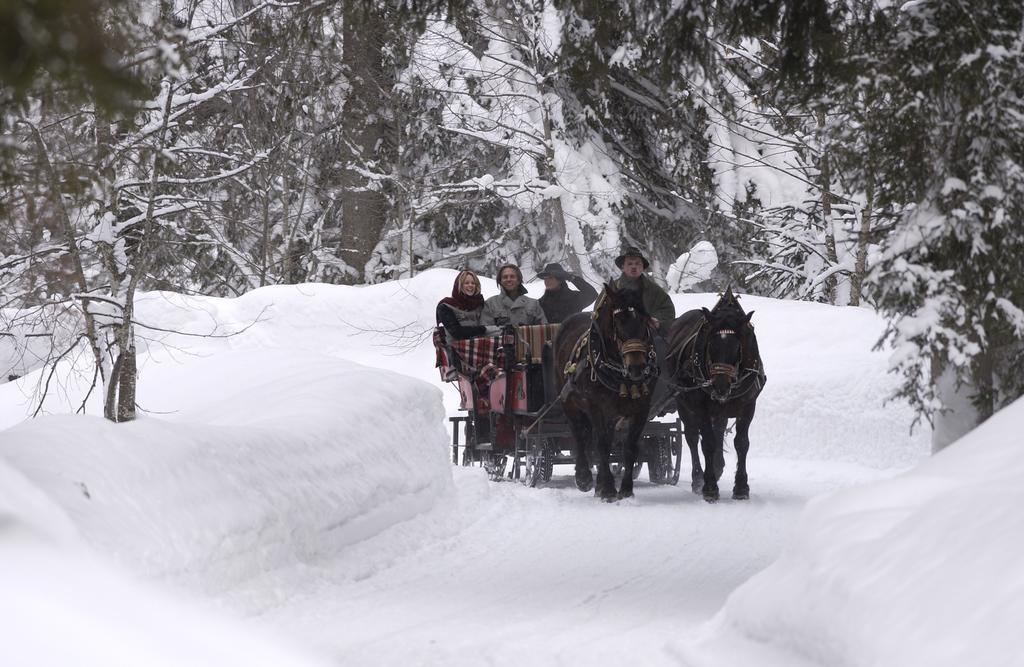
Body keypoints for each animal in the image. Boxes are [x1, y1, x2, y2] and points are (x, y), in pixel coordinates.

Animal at [557, 282, 659, 499]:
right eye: (618, 321)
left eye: (644, 320)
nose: (637, 367)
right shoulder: (596, 406)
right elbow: (602, 445)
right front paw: (610, 490)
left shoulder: (641, 408)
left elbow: (630, 448)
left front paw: (626, 489)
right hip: (568, 402)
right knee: (580, 435)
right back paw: (584, 477)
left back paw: (599, 484)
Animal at [667, 288, 765, 504]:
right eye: (710, 346)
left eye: (738, 347)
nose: (720, 386)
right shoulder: (701, 407)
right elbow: (707, 443)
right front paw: (710, 487)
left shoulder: (748, 406)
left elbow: (741, 443)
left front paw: (741, 487)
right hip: (684, 403)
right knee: (693, 438)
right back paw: (698, 478)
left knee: (719, 430)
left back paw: (718, 466)